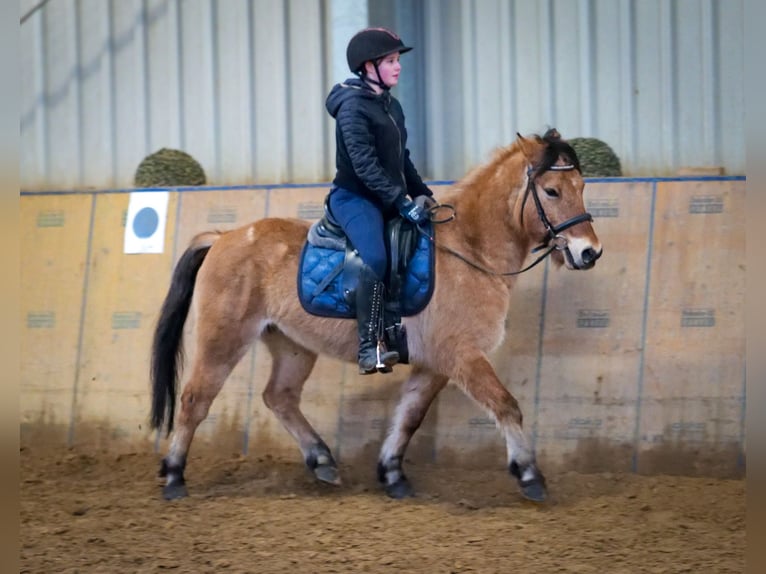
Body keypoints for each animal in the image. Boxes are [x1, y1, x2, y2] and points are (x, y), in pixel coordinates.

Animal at [152, 130, 608, 504]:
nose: (589, 252)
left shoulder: (435, 363)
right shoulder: (462, 355)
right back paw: (174, 477)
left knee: (278, 397)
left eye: (582, 186)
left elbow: (408, 416)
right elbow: (506, 405)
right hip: (224, 338)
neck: (470, 250)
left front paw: (391, 473)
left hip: (292, 345)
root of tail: (223, 237)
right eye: (551, 191)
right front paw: (530, 475)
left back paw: (322, 461)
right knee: (195, 400)